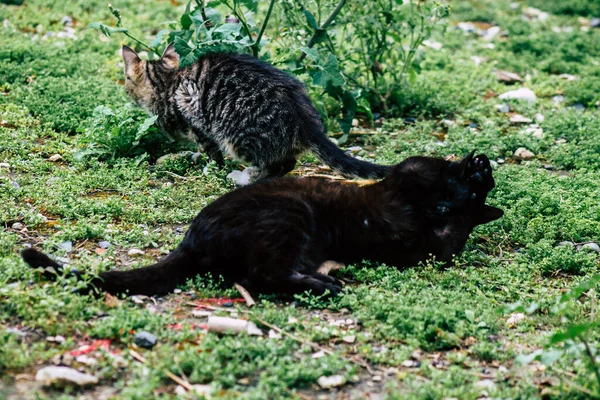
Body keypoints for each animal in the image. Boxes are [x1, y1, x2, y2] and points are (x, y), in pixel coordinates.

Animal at [21, 152, 502, 298]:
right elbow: (426, 167)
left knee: (264, 274)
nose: (481, 174)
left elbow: (449, 238)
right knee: (261, 274)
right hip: (288, 216)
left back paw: (326, 281)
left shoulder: (424, 248)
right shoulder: (405, 180)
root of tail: (190, 240)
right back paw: (328, 285)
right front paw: (474, 167)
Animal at [120, 44, 392, 181]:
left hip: (237, 135)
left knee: (273, 164)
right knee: (286, 163)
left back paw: (242, 177)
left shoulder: (193, 115)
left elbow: (212, 153)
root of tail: (305, 121)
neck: (168, 82)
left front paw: (210, 167)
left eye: (126, 80)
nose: (124, 89)